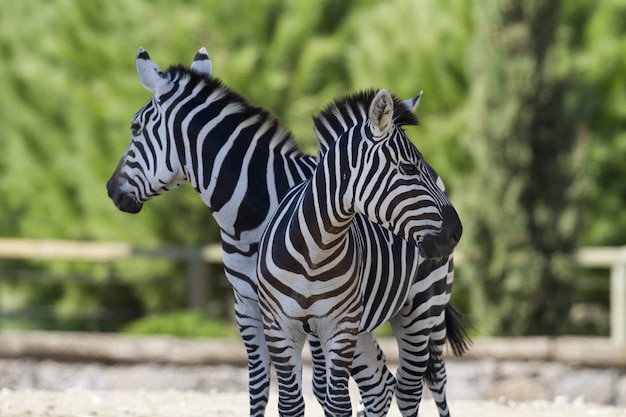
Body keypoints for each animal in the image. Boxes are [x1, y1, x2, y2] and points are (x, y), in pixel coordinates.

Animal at [255, 88, 464, 416]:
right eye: (408, 168)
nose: (457, 232)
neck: (314, 253)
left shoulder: (339, 327)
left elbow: (339, 403)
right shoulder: (279, 326)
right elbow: (290, 404)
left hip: (423, 309)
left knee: (412, 387)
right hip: (366, 326)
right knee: (381, 386)